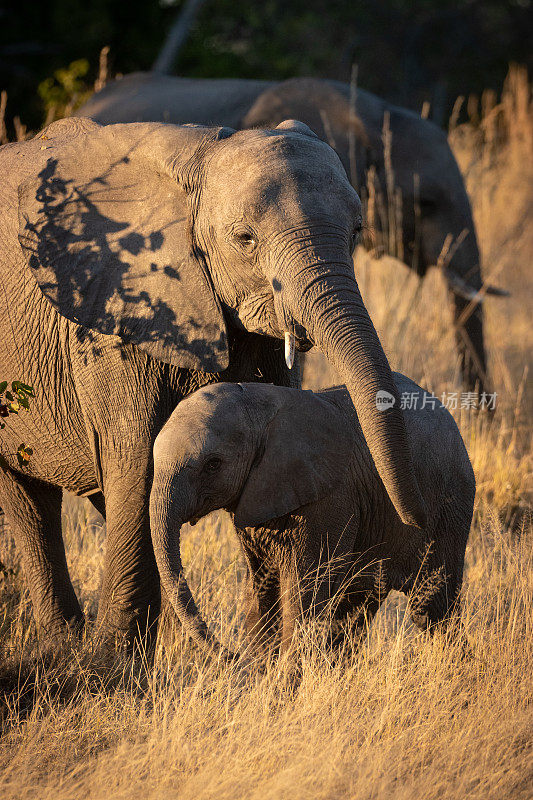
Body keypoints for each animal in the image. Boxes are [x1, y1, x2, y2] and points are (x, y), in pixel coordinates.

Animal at [0, 114, 424, 648]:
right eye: (244, 238)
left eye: (357, 230)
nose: (416, 520)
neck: (201, 153)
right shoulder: (110, 317)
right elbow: (136, 462)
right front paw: (115, 662)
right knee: (28, 503)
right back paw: (69, 649)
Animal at [150, 378, 474, 660]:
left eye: (213, 465)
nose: (231, 655)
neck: (258, 402)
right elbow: (260, 591)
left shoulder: (329, 500)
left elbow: (303, 596)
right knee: (357, 607)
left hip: (453, 503)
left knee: (431, 607)